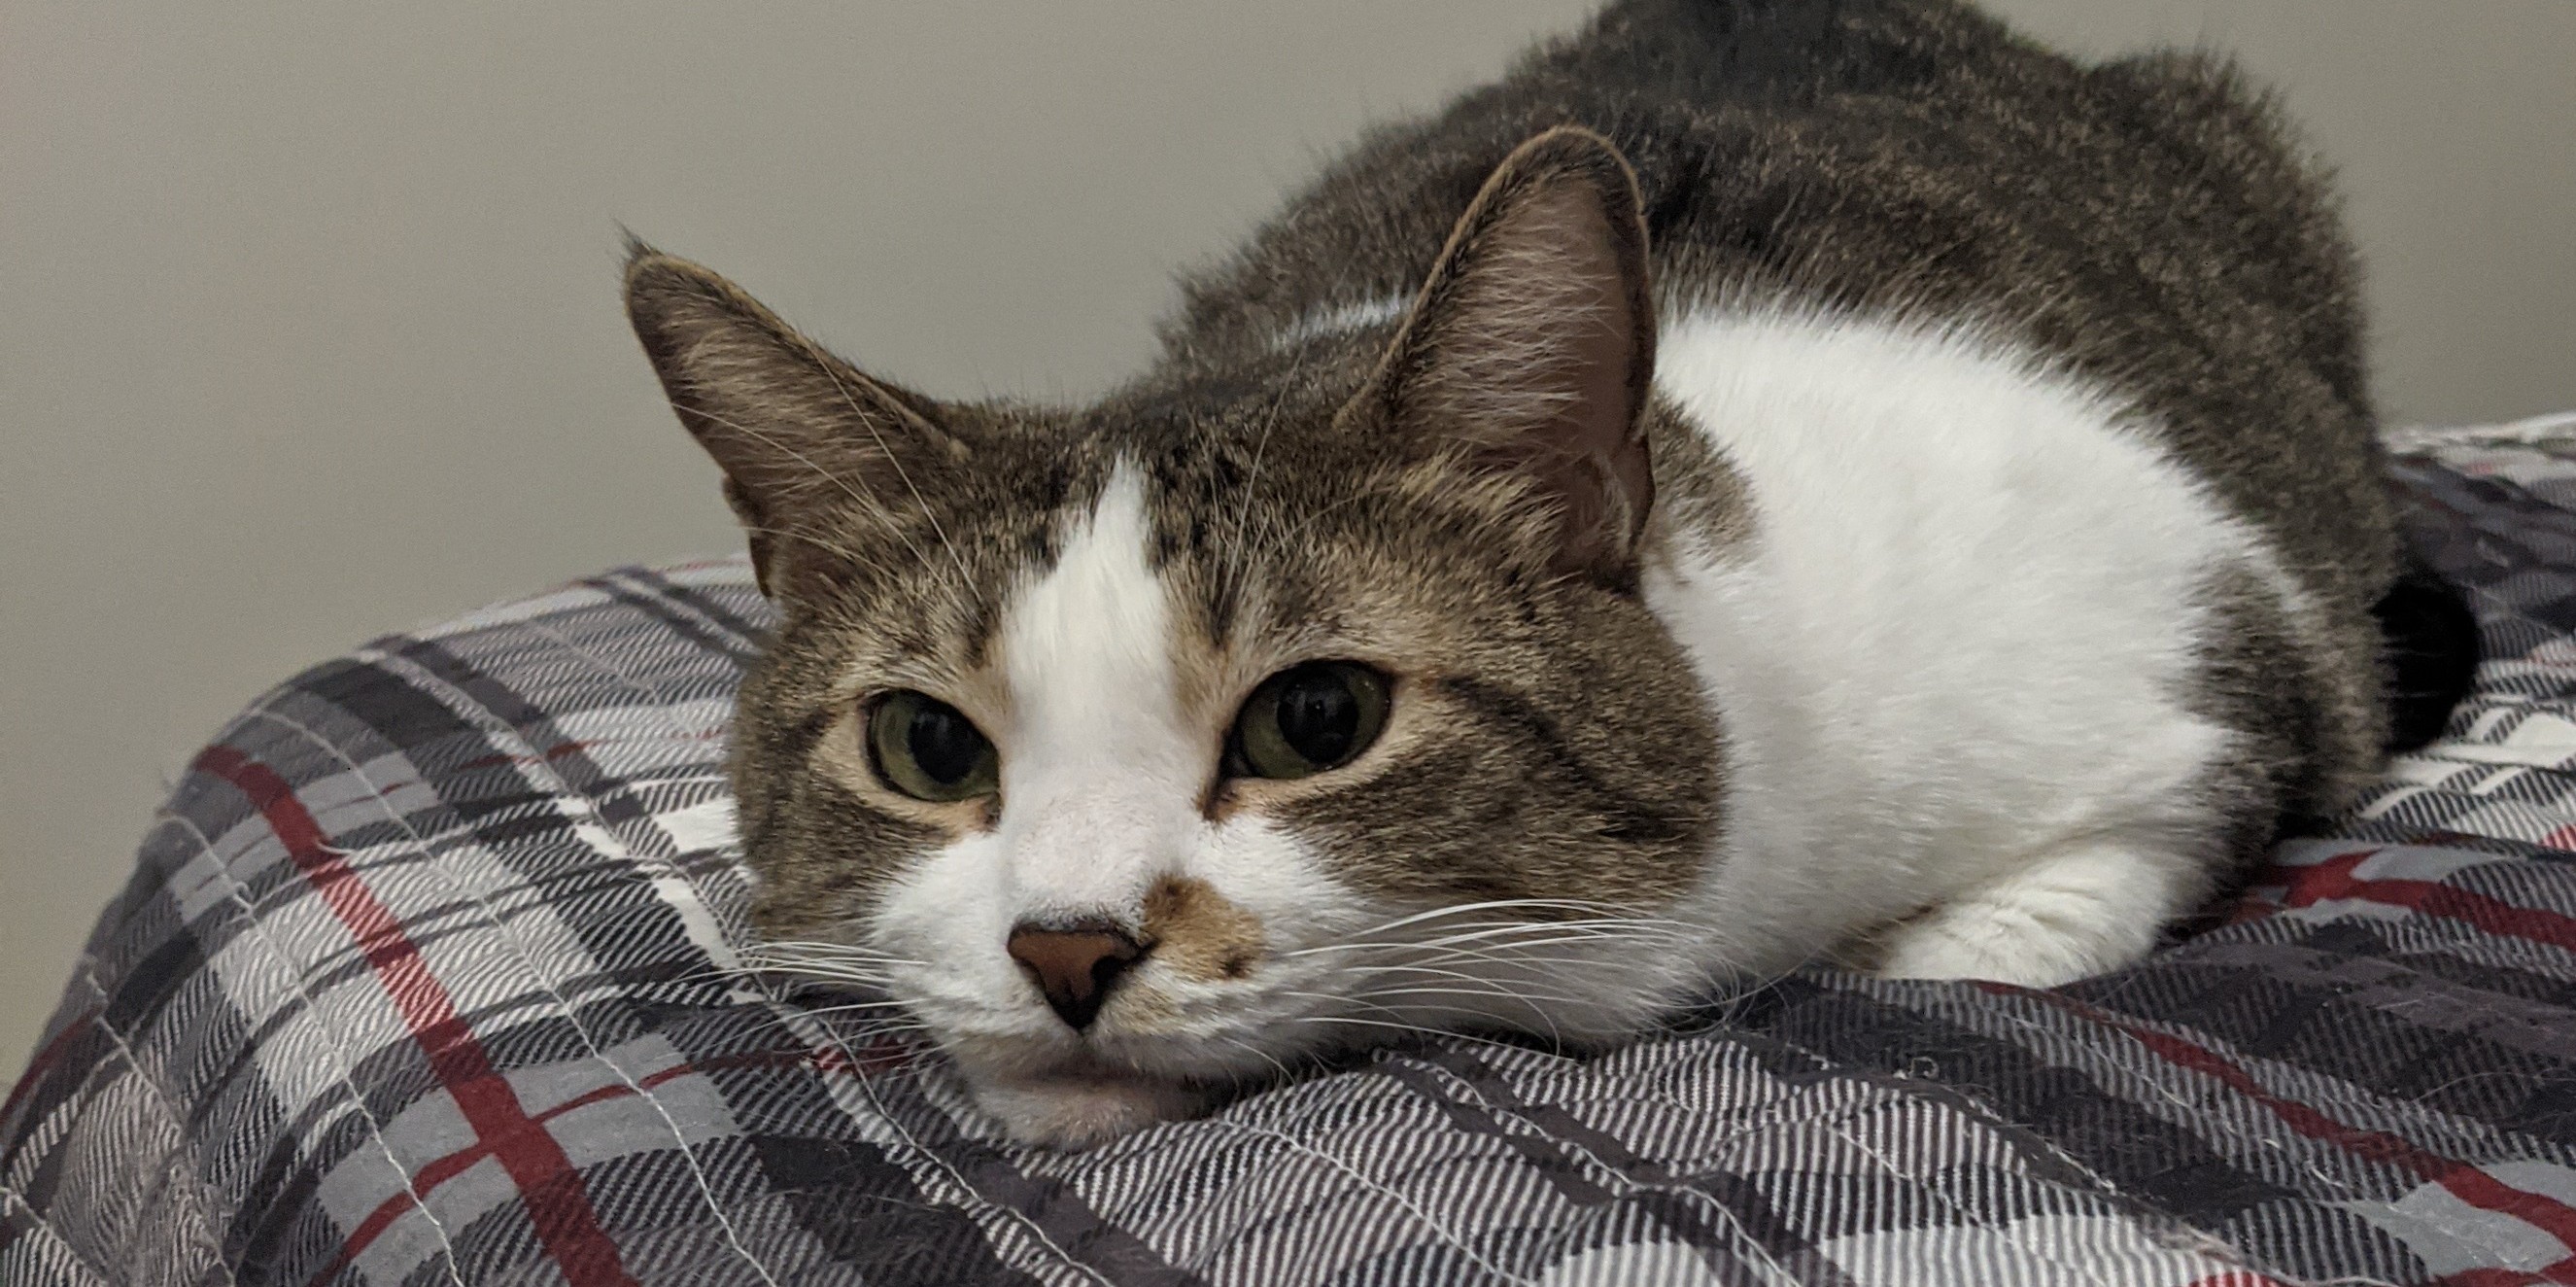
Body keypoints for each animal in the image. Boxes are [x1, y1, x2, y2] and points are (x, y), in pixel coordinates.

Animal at [618, 0, 2472, 1150]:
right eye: (927, 746)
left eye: (1316, 718)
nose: (1064, 950)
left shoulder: (2207, 641)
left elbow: (2025, 924)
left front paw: (1923, 952)